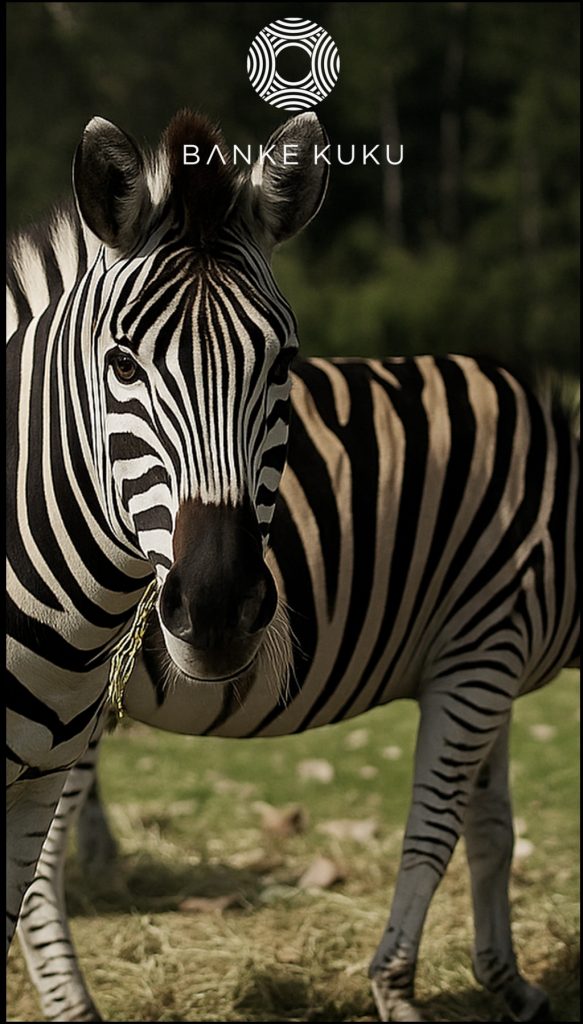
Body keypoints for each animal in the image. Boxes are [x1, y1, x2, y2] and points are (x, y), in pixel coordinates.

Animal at [13, 353, 579, 1021]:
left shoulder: (490, 669)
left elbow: (493, 834)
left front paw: (509, 983)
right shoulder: (483, 648)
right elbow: (436, 835)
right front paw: (397, 990)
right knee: (42, 867)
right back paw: (73, 1005)